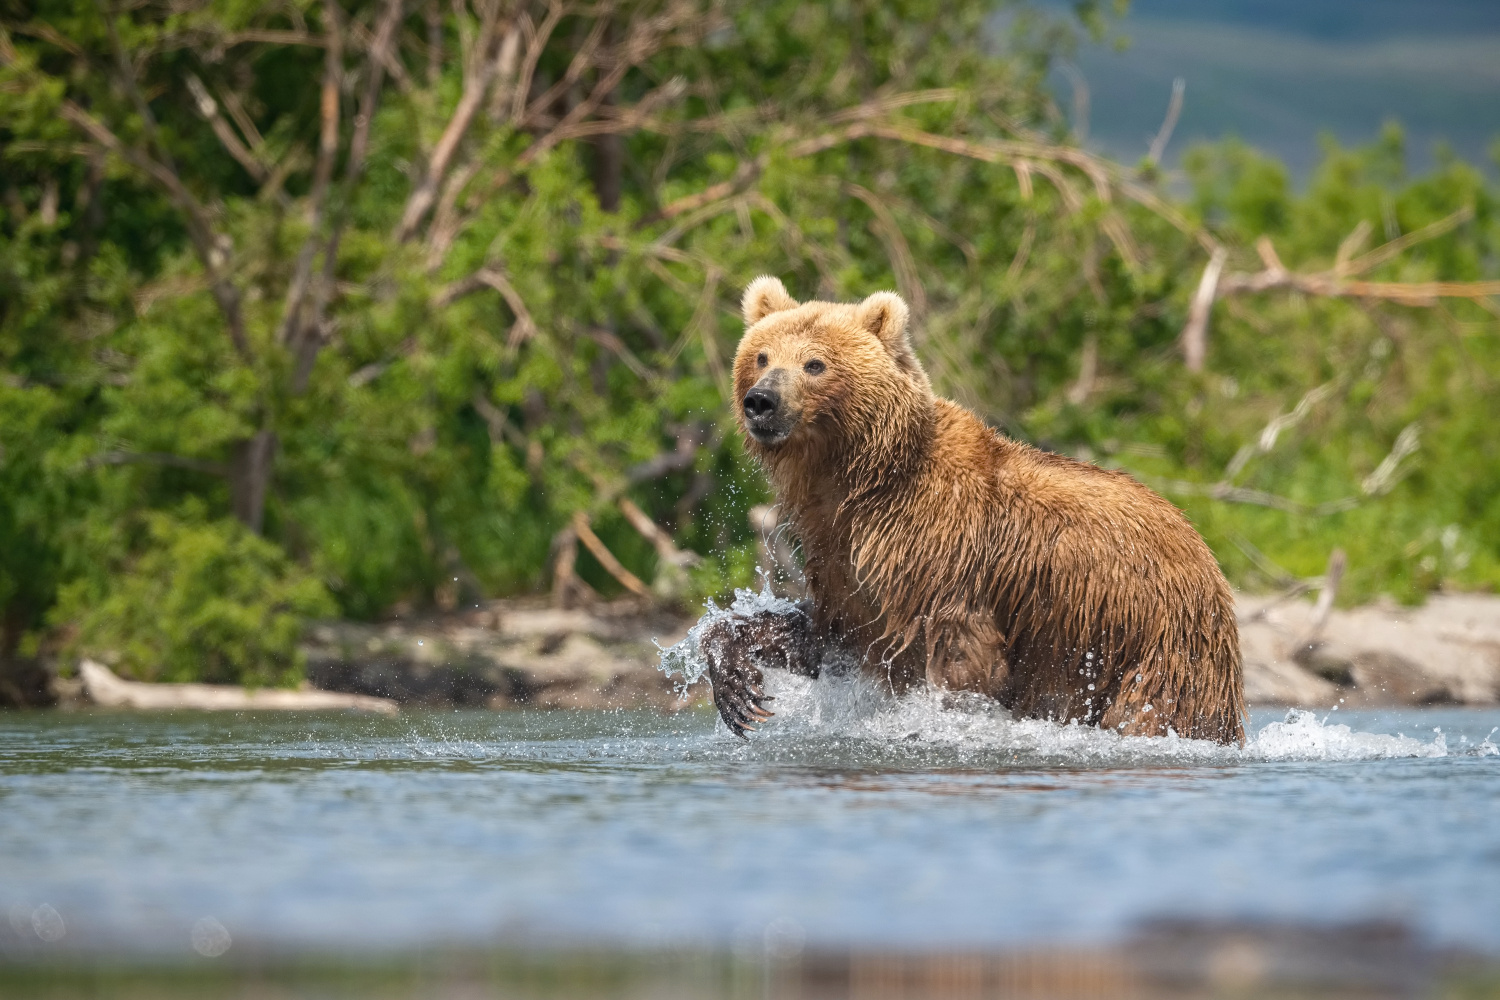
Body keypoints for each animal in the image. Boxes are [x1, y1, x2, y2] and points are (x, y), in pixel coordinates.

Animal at [702, 277, 1242, 746]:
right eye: (761, 356)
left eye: (814, 363)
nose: (761, 400)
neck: (860, 479)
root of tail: (1207, 556)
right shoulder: (844, 558)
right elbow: (826, 633)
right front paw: (737, 685)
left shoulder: (942, 552)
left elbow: (965, 662)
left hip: (1153, 642)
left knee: (1153, 710)